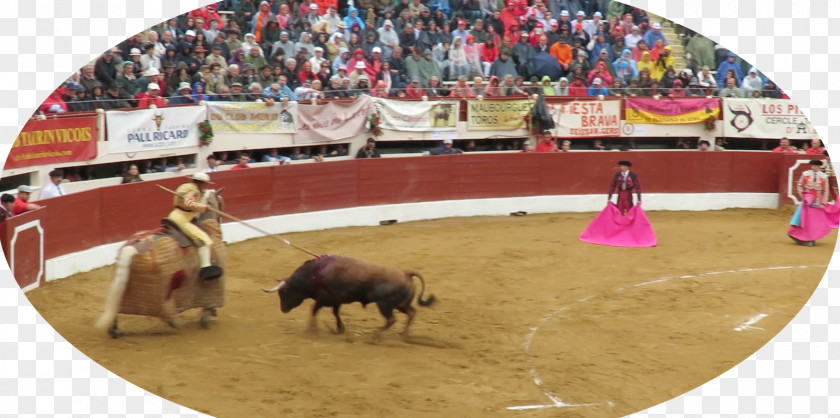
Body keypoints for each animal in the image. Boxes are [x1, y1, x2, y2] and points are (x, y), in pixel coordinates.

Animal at [96, 188, 226, 338]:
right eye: (221, 203)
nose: (221, 220)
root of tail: (132, 247)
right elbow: (210, 301)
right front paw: (207, 317)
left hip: (123, 281)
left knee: (116, 302)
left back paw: (115, 330)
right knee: (168, 312)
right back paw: (176, 323)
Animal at [262, 255, 436, 340]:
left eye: (284, 292)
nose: (283, 309)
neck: (314, 273)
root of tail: (406, 273)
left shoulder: (324, 299)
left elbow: (314, 309)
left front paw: (312, 330)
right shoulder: (336, 301)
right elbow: (335, 313)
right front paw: (339, 329)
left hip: (385, 304)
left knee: (391, 319)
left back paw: (376, 336)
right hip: (401, 304)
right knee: (411, 313)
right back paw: (405, 334)